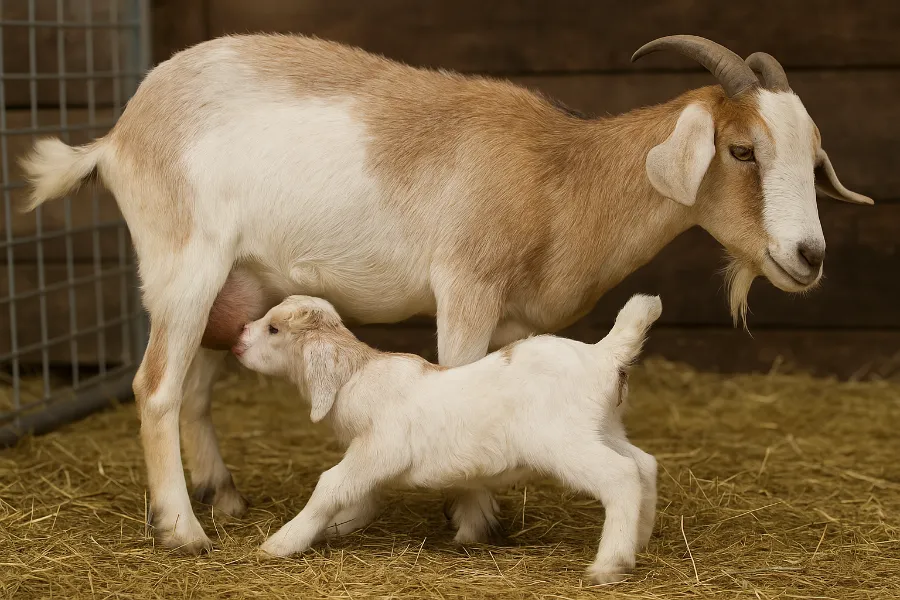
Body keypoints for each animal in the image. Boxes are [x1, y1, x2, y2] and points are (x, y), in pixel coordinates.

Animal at [19, 34, 871, 552]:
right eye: (741, 150)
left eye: (813, 156)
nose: (808, 256)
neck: (561, 172)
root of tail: (118, 136)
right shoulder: (466, 285)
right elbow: (456, 380)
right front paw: (470, 519)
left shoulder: (514, 319)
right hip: (185, 265)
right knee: (157, 386)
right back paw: (183, 531)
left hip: (238, 283)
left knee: (194, 389)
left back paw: (221, 499)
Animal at [233, 293, 662, 584]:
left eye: (273, 329)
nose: (238, 338)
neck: (355, 375)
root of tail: (604, 355)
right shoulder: (371, 459)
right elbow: (360, 498)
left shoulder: (379, 448)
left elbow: (331, 485)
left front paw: (282, 542)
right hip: (605, 427)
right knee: (645, 464)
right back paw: (638, 541)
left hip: (566, 441)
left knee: (621, 474)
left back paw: (610, 563)